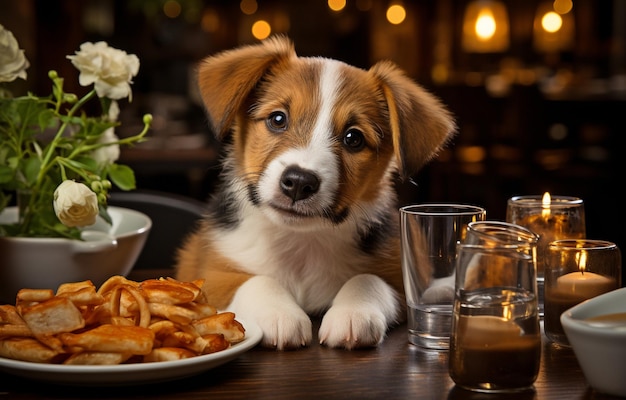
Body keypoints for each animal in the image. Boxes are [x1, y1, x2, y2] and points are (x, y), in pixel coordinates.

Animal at [176, 37, 454, 350]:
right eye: (278, 119)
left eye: (353, 138)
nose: (298, 182)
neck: (301, 243)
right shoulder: (208, 270)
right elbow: (255, 280)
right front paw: (279, 312)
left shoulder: (399, 274)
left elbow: (369, 279)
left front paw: (353, 312)